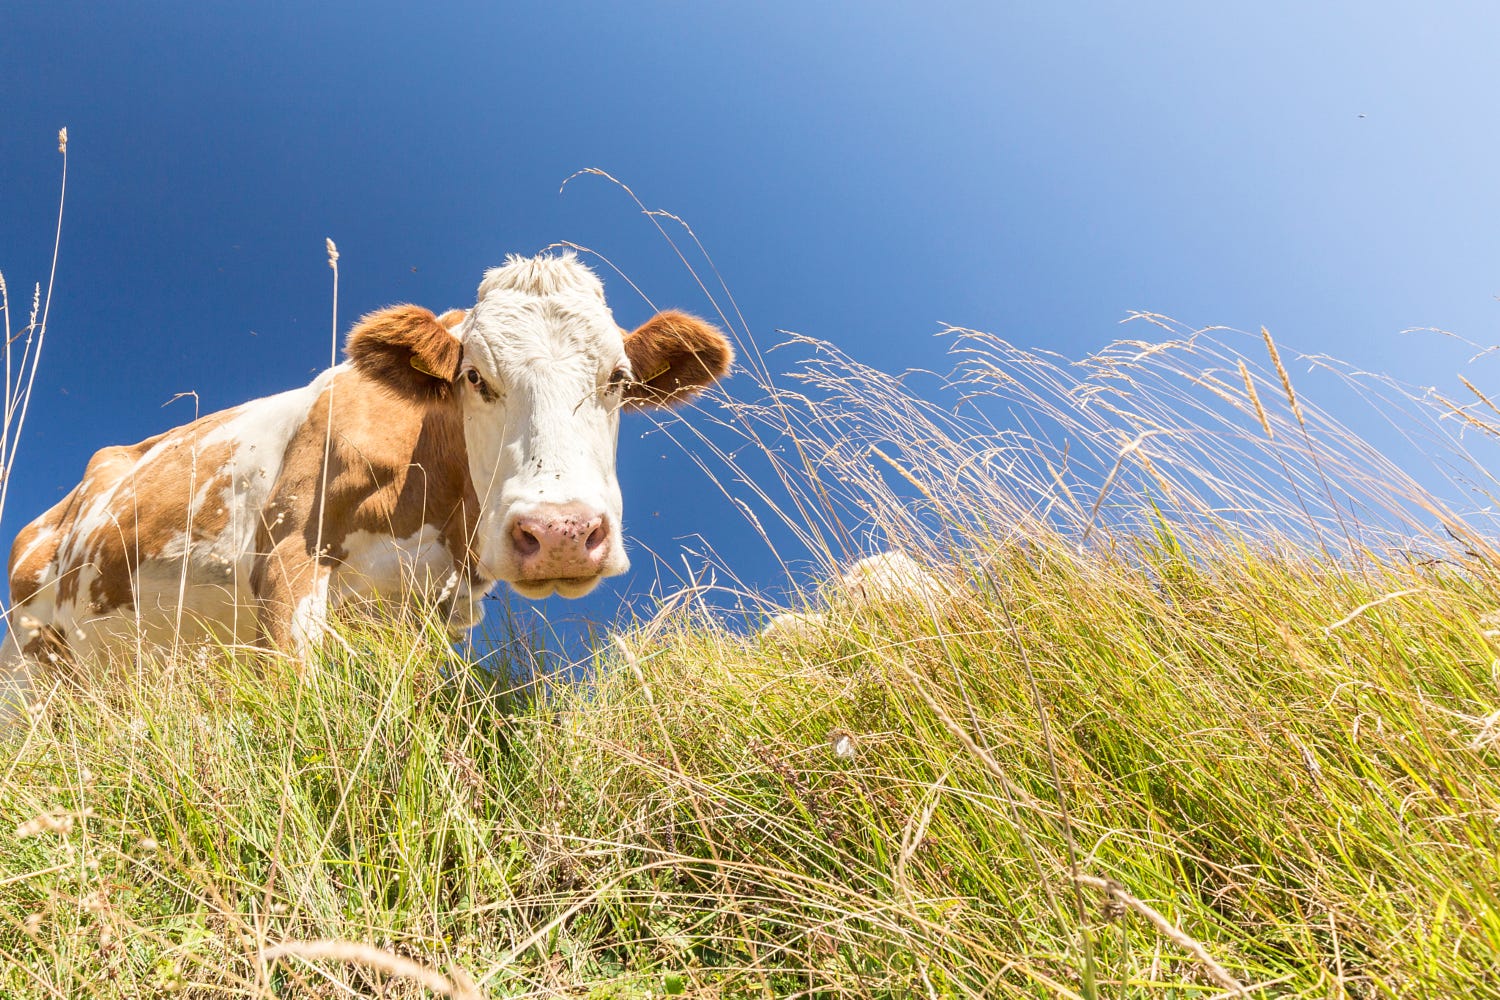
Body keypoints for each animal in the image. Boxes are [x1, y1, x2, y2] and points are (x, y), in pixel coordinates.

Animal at [1, 251, 732, 695]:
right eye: (474, 377)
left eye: (619, 379)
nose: (560, 533)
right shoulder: (287, 561)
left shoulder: (427, 614)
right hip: (30, 661)